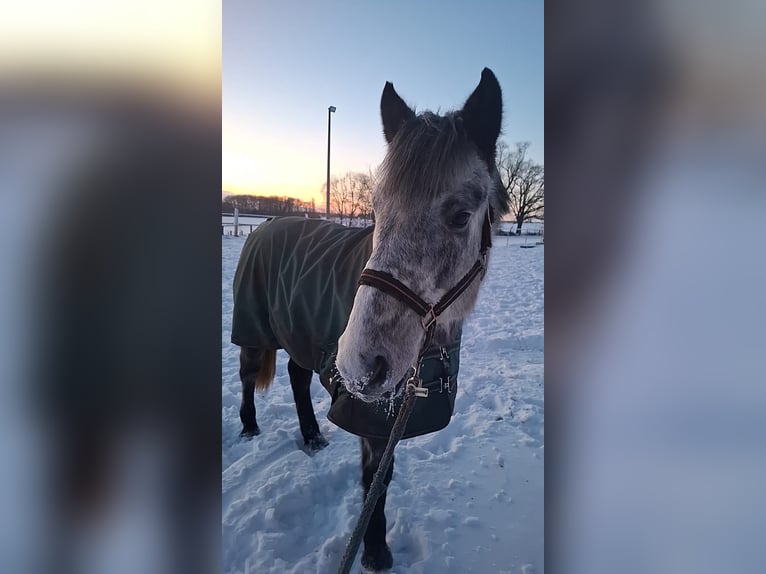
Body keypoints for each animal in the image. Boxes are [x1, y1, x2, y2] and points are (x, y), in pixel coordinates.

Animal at [231, 68, 510, 572]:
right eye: (377, 211)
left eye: (461, 216)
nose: (361, 365)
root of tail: (265, 225)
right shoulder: (370, 415)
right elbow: (373, 482)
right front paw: (376, 552)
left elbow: (384, 475)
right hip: (254, 328)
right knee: (247, 376)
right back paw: (249, 427)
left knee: (296, 375)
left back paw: (311, 435)